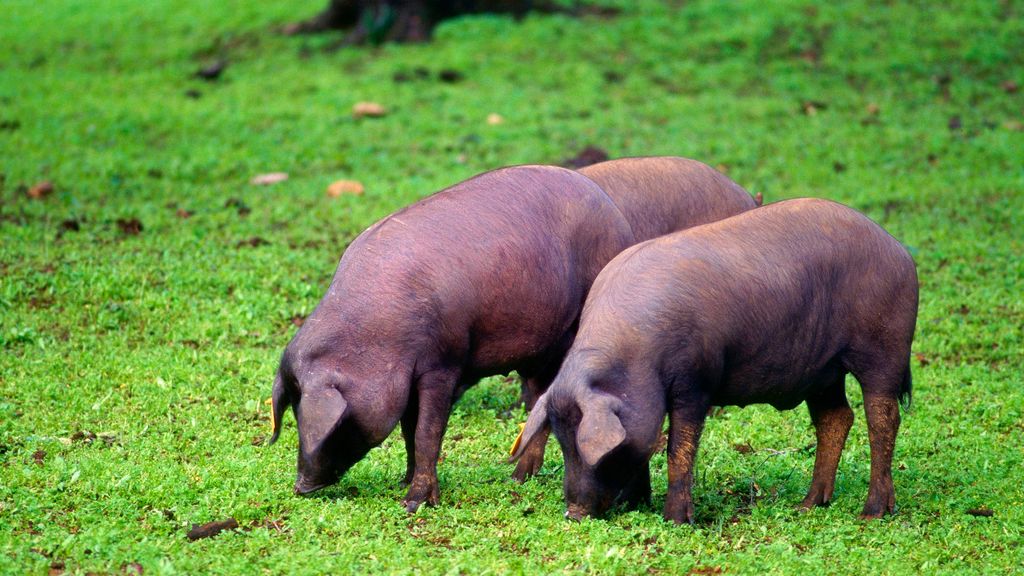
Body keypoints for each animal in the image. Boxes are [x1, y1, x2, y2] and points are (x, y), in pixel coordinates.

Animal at [512, 195, 921, 520]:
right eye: (562, 442)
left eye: (586, 447)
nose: (574, 513)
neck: (635, 357)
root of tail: (899, 249)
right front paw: (637, 505)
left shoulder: (695, 380)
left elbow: (678, 447)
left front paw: (676, 520)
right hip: (824, 370)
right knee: (836, 418)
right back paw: (808, 505)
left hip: (884, 349)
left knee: (883, 419)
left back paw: (871, 513)